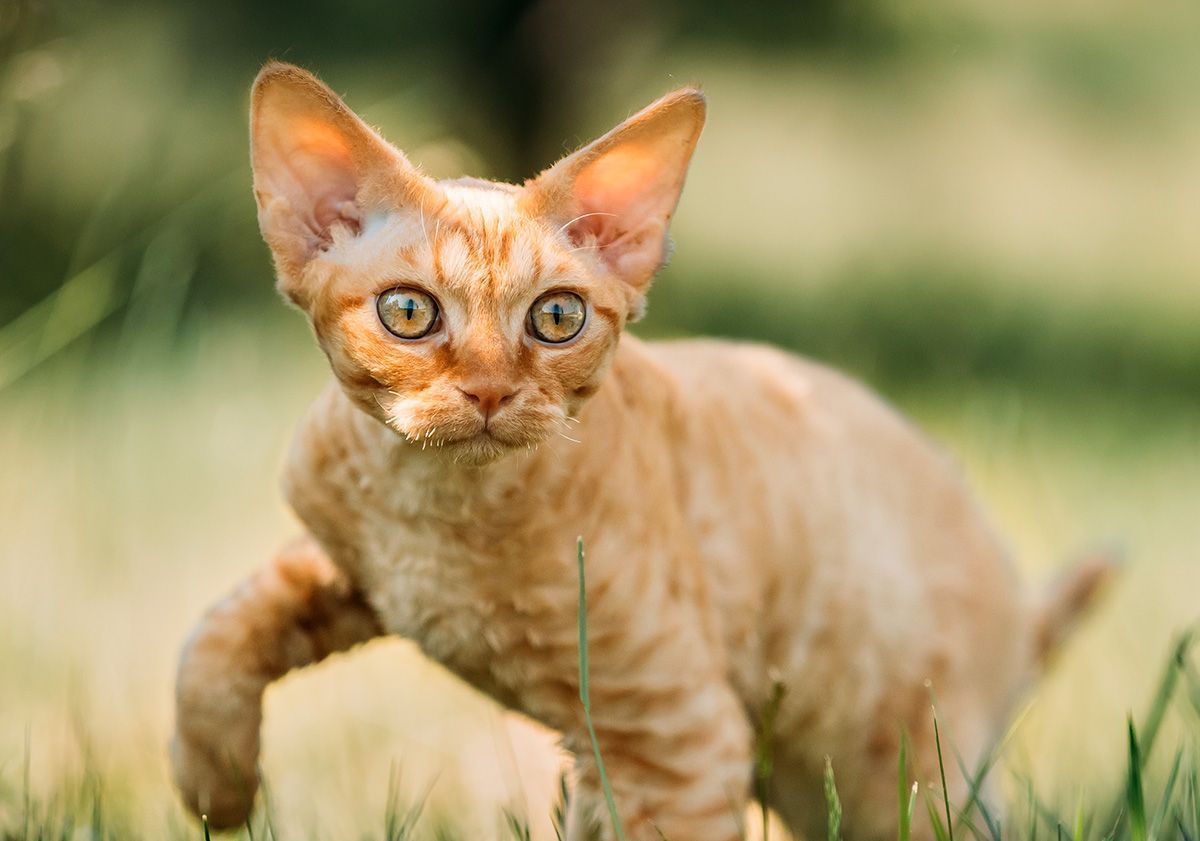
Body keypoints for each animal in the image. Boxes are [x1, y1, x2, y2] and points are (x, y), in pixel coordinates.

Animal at [171, 62, 1113, 835]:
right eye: (409, 312)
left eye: (556, 318)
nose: (489, 391)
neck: (435, 511)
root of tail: (1017, 602)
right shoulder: (342, 559)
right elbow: (216, 633)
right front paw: (216, 789)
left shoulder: (678, 736)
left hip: (894, 773)